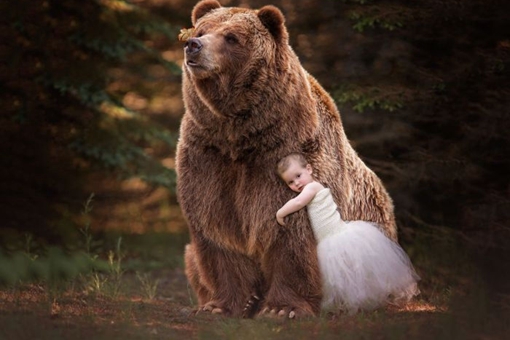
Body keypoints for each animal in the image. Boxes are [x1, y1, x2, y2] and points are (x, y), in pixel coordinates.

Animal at [177, 0, 396, 318]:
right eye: (201, 30)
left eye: (231, 37)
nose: (193, 45)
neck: (240, 134)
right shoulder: (207, 156)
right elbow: (216, 229)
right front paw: (222, 305)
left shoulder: (286, 152)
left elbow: (292, 235)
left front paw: (282, 308)